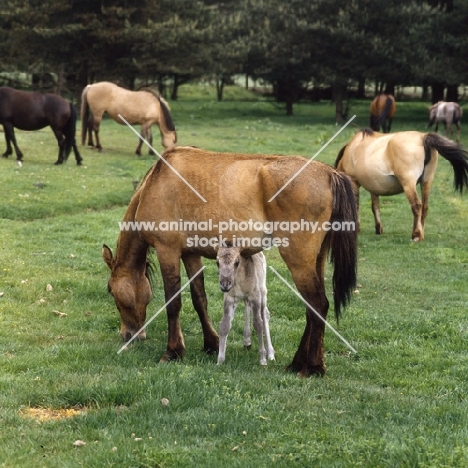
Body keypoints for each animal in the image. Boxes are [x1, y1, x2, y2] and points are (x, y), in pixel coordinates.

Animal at [103, 146, 358, 376]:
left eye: (110, 291)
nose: (129, 334)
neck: (156, 181)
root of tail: (329, 173)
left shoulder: (168, 251)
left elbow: (173, 303)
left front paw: (173, 351)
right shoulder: (191, 254)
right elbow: (199, 299)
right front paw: (211, 343)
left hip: (298, 260)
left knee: (318, 304)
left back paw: (312, 367)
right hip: (316, 259)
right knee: (311, 308)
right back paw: (299, 362)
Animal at [334, 129, 468, 241]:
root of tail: (423, 137)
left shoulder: (354, 182)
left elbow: (356, 205)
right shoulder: (373, 187)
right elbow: (375, 206)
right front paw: (378, 228)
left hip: (408, 184)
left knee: (417, 205)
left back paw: (416, 235)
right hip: (426, 181)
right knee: (425, 207)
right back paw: (421, 233)